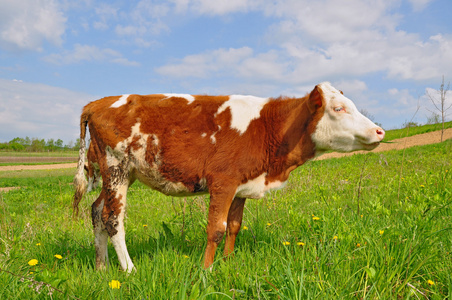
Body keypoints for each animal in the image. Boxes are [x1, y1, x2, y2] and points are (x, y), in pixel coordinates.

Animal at [73, 81, 384, 272]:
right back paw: (129, 270)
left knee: (97, 211)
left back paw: (102, 268)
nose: (380, 130)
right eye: (338, 108)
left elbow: (234, 225)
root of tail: (97, 103)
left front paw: (229, 262)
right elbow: (216, 228)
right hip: (117, 169)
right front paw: (206, 269)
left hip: (120, 174)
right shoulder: (222, 182)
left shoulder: (241, 185)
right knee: (113, 219)